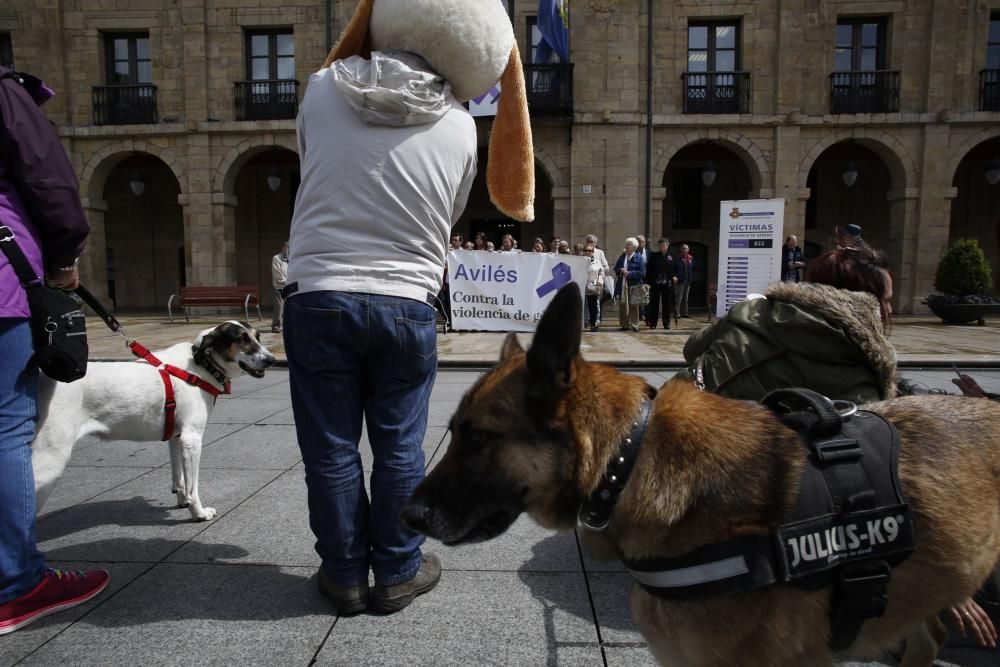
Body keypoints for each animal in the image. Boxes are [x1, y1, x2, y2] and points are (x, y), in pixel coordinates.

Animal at [33, 322, 276, 520]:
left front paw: (183, 501)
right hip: (49, 461)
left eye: (258, 336)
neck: (200, 366)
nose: (271, 360)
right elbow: (193, 485)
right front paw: (198, 512)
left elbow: (179, 478)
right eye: (242, 339)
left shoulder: (177, 437)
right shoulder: (192, 439)